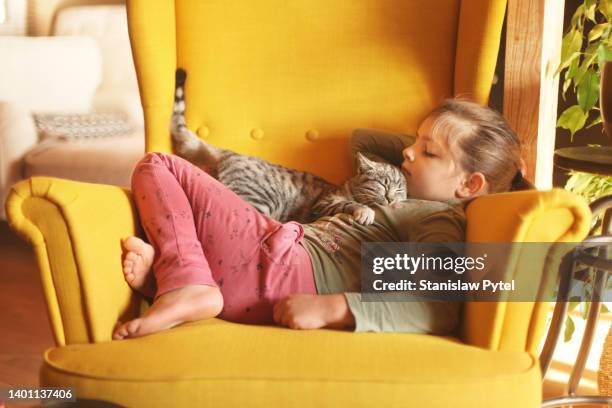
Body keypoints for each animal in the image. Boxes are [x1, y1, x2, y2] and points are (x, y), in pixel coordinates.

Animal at [170, 68, 406, 225]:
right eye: (383, 184)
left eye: (400, 189)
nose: (391, 198)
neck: (347, 187)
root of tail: (231, 153)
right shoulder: (324, 203)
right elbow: (348, 204)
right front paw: (364, 210)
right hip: (259, 197)